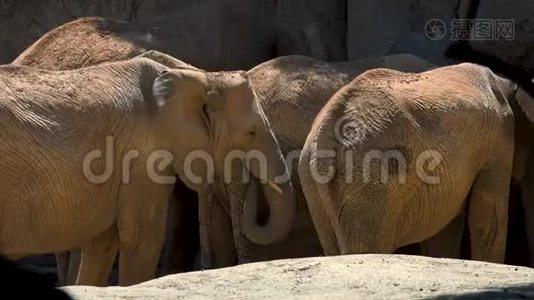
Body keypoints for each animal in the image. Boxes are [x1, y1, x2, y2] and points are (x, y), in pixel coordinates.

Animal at [0, 57, 298, 284]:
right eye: (251, 132)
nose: (249, 181)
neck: (199, 77)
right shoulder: (140, 156)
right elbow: (142, 240)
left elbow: (103, 244)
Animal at [302, 62, 534, 264]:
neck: (508, 83)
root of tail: (326, 132)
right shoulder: (497, 142)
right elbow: (488, 222)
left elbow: (444, 226)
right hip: (370, 177)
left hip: (315, 184)